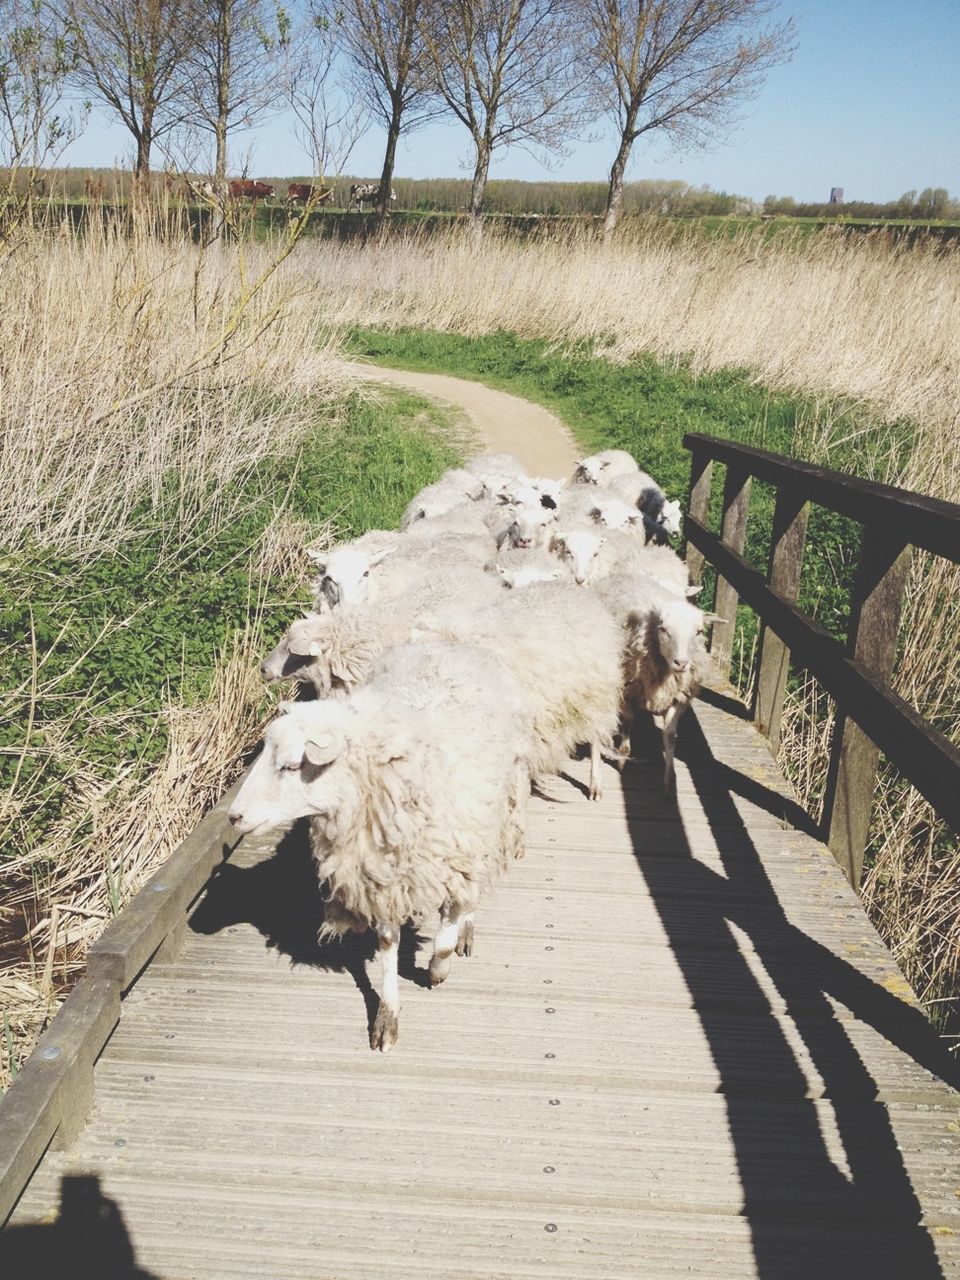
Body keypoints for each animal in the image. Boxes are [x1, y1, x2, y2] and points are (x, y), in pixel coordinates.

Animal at [235, 640, 535, 1049]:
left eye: (292, 766)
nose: (234, 816)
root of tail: (446, 642)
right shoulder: (381, 876)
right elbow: (388, 943)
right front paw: (387, 1016)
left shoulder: (454, 858)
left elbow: (443, 939)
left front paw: (438, 971)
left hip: (497, 813)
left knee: (477, 882)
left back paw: (465, 930)